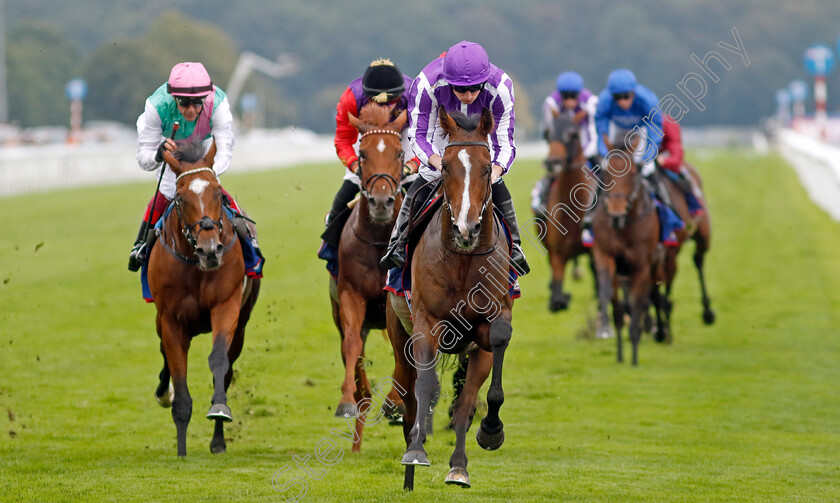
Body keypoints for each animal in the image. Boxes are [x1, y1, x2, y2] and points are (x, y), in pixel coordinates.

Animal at [148, 141, 260, 456]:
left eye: (218, 193)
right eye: (181, 198)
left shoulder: (226, 307)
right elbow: (177, 372)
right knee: (163, 351)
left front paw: (219, 410)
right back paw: (163, 392)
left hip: (242, 324)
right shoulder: (171, 320)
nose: (210, 250)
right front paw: (181, 449)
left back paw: (219, 439)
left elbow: (219, 361)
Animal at [386, 108, 512, 490]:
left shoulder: (488, 329)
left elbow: (473, 400)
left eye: (486, 168)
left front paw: (487, 435)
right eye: (444, 168)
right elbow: (425, 386)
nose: (465, 229)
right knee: (409, 389)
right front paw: (416, 453)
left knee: (462, 402)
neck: (462, 260)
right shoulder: (426, 324)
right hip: (399, 331)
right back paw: (410, 456)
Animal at [592, 137, 664, 366]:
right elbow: (608, 294)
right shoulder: (605, 255)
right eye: (606, 173)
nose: (615, 213)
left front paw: (633, 356)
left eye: (633, 173)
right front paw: (607, 333)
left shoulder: (642, 267)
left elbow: (637, 303)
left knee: (650, 297)